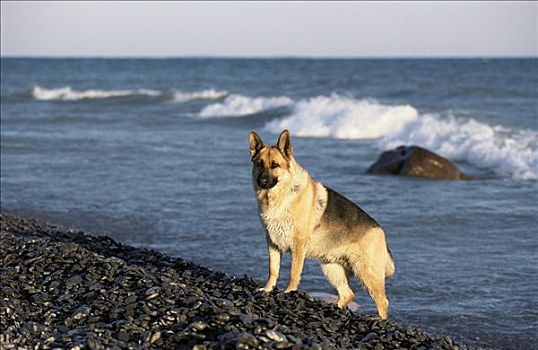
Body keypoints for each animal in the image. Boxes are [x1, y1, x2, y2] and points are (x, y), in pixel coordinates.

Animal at [248, 129, 394, 320]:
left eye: (275, 165)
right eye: (259, 164)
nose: (262, 182)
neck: (281, 195)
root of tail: (380, 230)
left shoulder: (298, 247)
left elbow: (293, 273)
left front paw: (289, 292)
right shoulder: (272, 243)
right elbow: (273, 270)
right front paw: (268, 289)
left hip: (366, 272)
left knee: (382, 301)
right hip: (331, 267)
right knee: (348, 293)